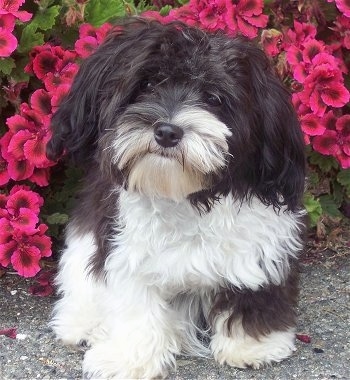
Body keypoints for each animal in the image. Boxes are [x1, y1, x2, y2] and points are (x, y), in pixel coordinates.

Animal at [47, 17, 306, 380]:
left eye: (214, 98)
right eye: (148, 84)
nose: (167, 131)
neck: (186, 196)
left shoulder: (261, 241)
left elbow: (251, 286)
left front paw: (252, 344)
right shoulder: (125, 248)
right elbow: (134, 299)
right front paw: (129, 357)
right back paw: (83, 322)